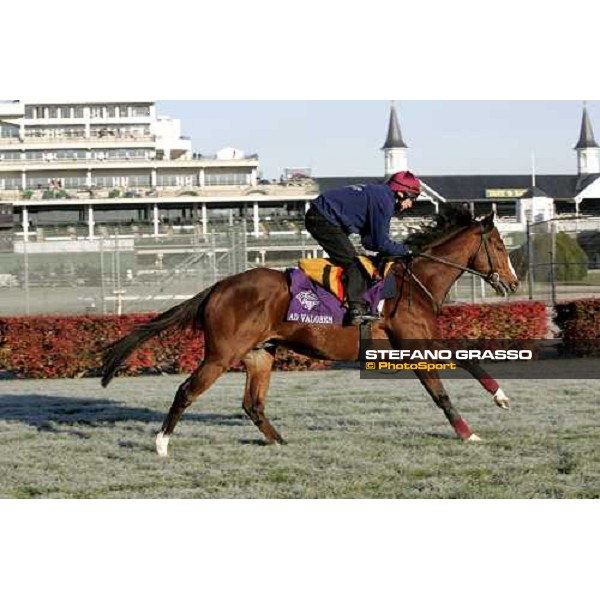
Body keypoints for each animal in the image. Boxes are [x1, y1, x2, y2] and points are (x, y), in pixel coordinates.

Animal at [101, 204, 516, 458]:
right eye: (498, 245)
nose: (512, 283)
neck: (415, 282)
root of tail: (218, 287)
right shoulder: (411, 344)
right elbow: (439, 393)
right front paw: (467, 432)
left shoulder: (427, 337)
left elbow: (468, 357)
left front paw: (500, 397)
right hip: (221, 354)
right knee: (186, 391)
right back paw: (161, 444)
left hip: (260, 353)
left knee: (252, 404)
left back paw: (280, 441)